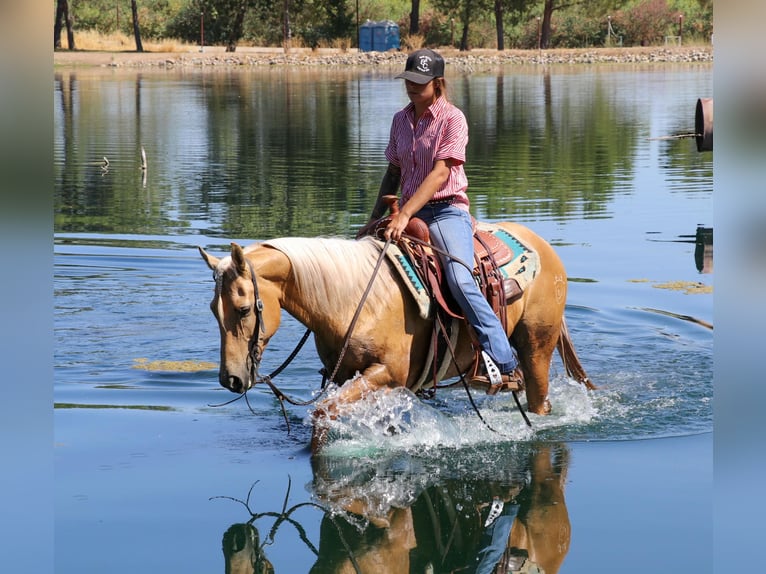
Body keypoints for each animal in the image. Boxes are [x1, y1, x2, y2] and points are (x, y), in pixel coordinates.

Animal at [199, 222, 593, 452]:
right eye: (213, 309)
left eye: (244, 309)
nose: (230, 379)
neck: (355, 298)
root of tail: (543, 245)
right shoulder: (351, 376)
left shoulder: (386, 374)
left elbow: (322, 414)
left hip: (537, 345)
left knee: (539, 400)